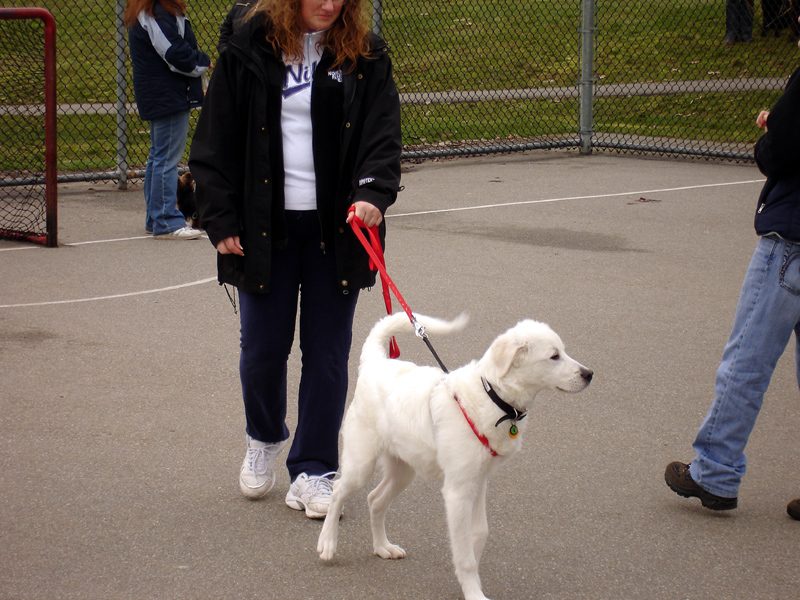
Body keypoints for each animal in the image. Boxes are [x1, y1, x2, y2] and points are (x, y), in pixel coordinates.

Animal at [317, 312, 593, 600]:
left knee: (375, 499)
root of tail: (375, 363)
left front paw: (470, 578)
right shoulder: (458, 492)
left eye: (563, 351)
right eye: (553, 356)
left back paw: (383, 547)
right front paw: (473, 592)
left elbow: (479, 533)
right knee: (338, 490)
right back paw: (327, 543)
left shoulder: (478, 482)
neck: (492, 397)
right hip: (362, 462)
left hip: (403, 470)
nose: (589, 374)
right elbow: (465, 554)